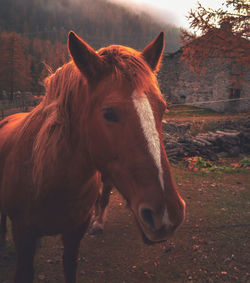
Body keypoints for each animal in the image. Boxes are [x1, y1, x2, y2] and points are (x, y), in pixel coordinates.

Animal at [0, 31, 186, 283]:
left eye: (163, 108)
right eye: (108, 113)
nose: (166, 215)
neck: (48, 180)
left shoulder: (74, 233)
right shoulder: (23, 235)